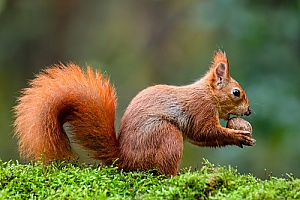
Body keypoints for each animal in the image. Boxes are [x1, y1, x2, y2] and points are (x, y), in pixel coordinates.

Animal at [13, 50, 253, 175]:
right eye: (236, 92)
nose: (250, 111)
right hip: (165, 135)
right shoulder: (199, 109)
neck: (208, 94)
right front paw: (237, 136)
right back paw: (175, 177)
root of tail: (124, 158)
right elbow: (204, 132)